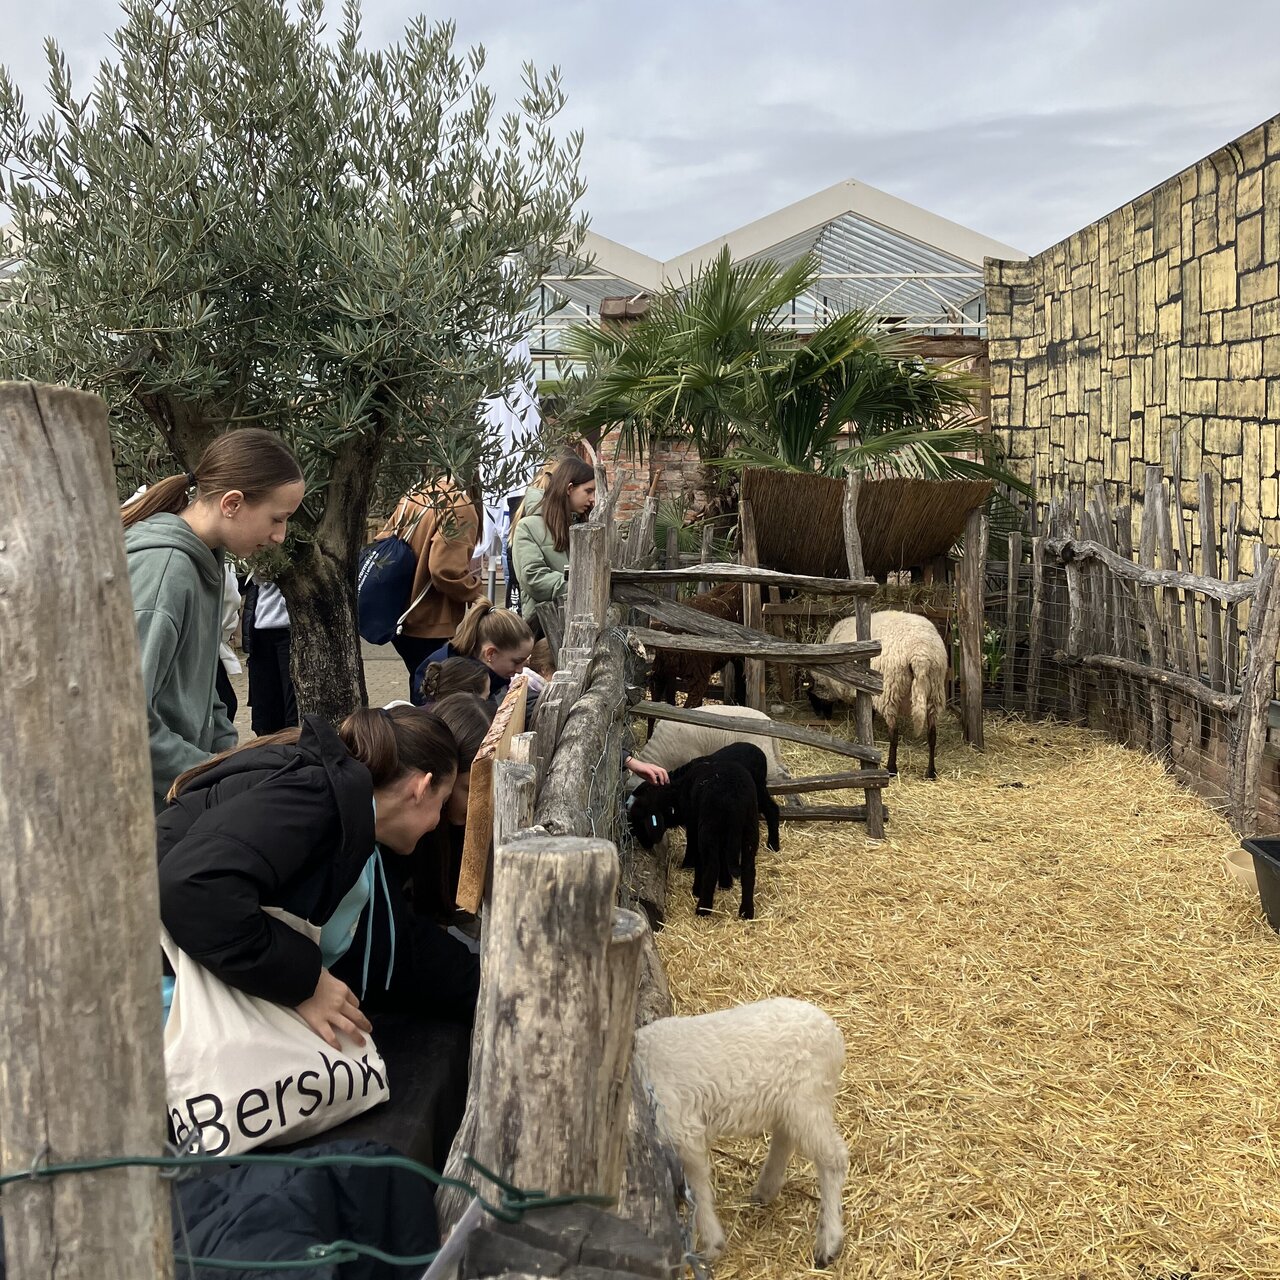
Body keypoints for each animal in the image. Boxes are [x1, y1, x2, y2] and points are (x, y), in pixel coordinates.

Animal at [632, 993, 849, 1264]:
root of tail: (833, 1033)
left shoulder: (682, 1129)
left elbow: (697, 1185)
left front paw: (711, 1245)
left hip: (808, 1100)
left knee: (834, 1159)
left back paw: (828, 1241)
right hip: (789, 1103)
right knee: (784, 1137)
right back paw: (766, 1189)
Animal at [808, 609, 952, 778]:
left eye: (812, 698)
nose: (822, 716)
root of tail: (920, 654)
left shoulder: (860, 691)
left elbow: (865, 716)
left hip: (889, 691)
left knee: (894, 734)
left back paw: (892, 768)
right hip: (935, 691)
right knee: (932, 734)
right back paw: (931, 772)